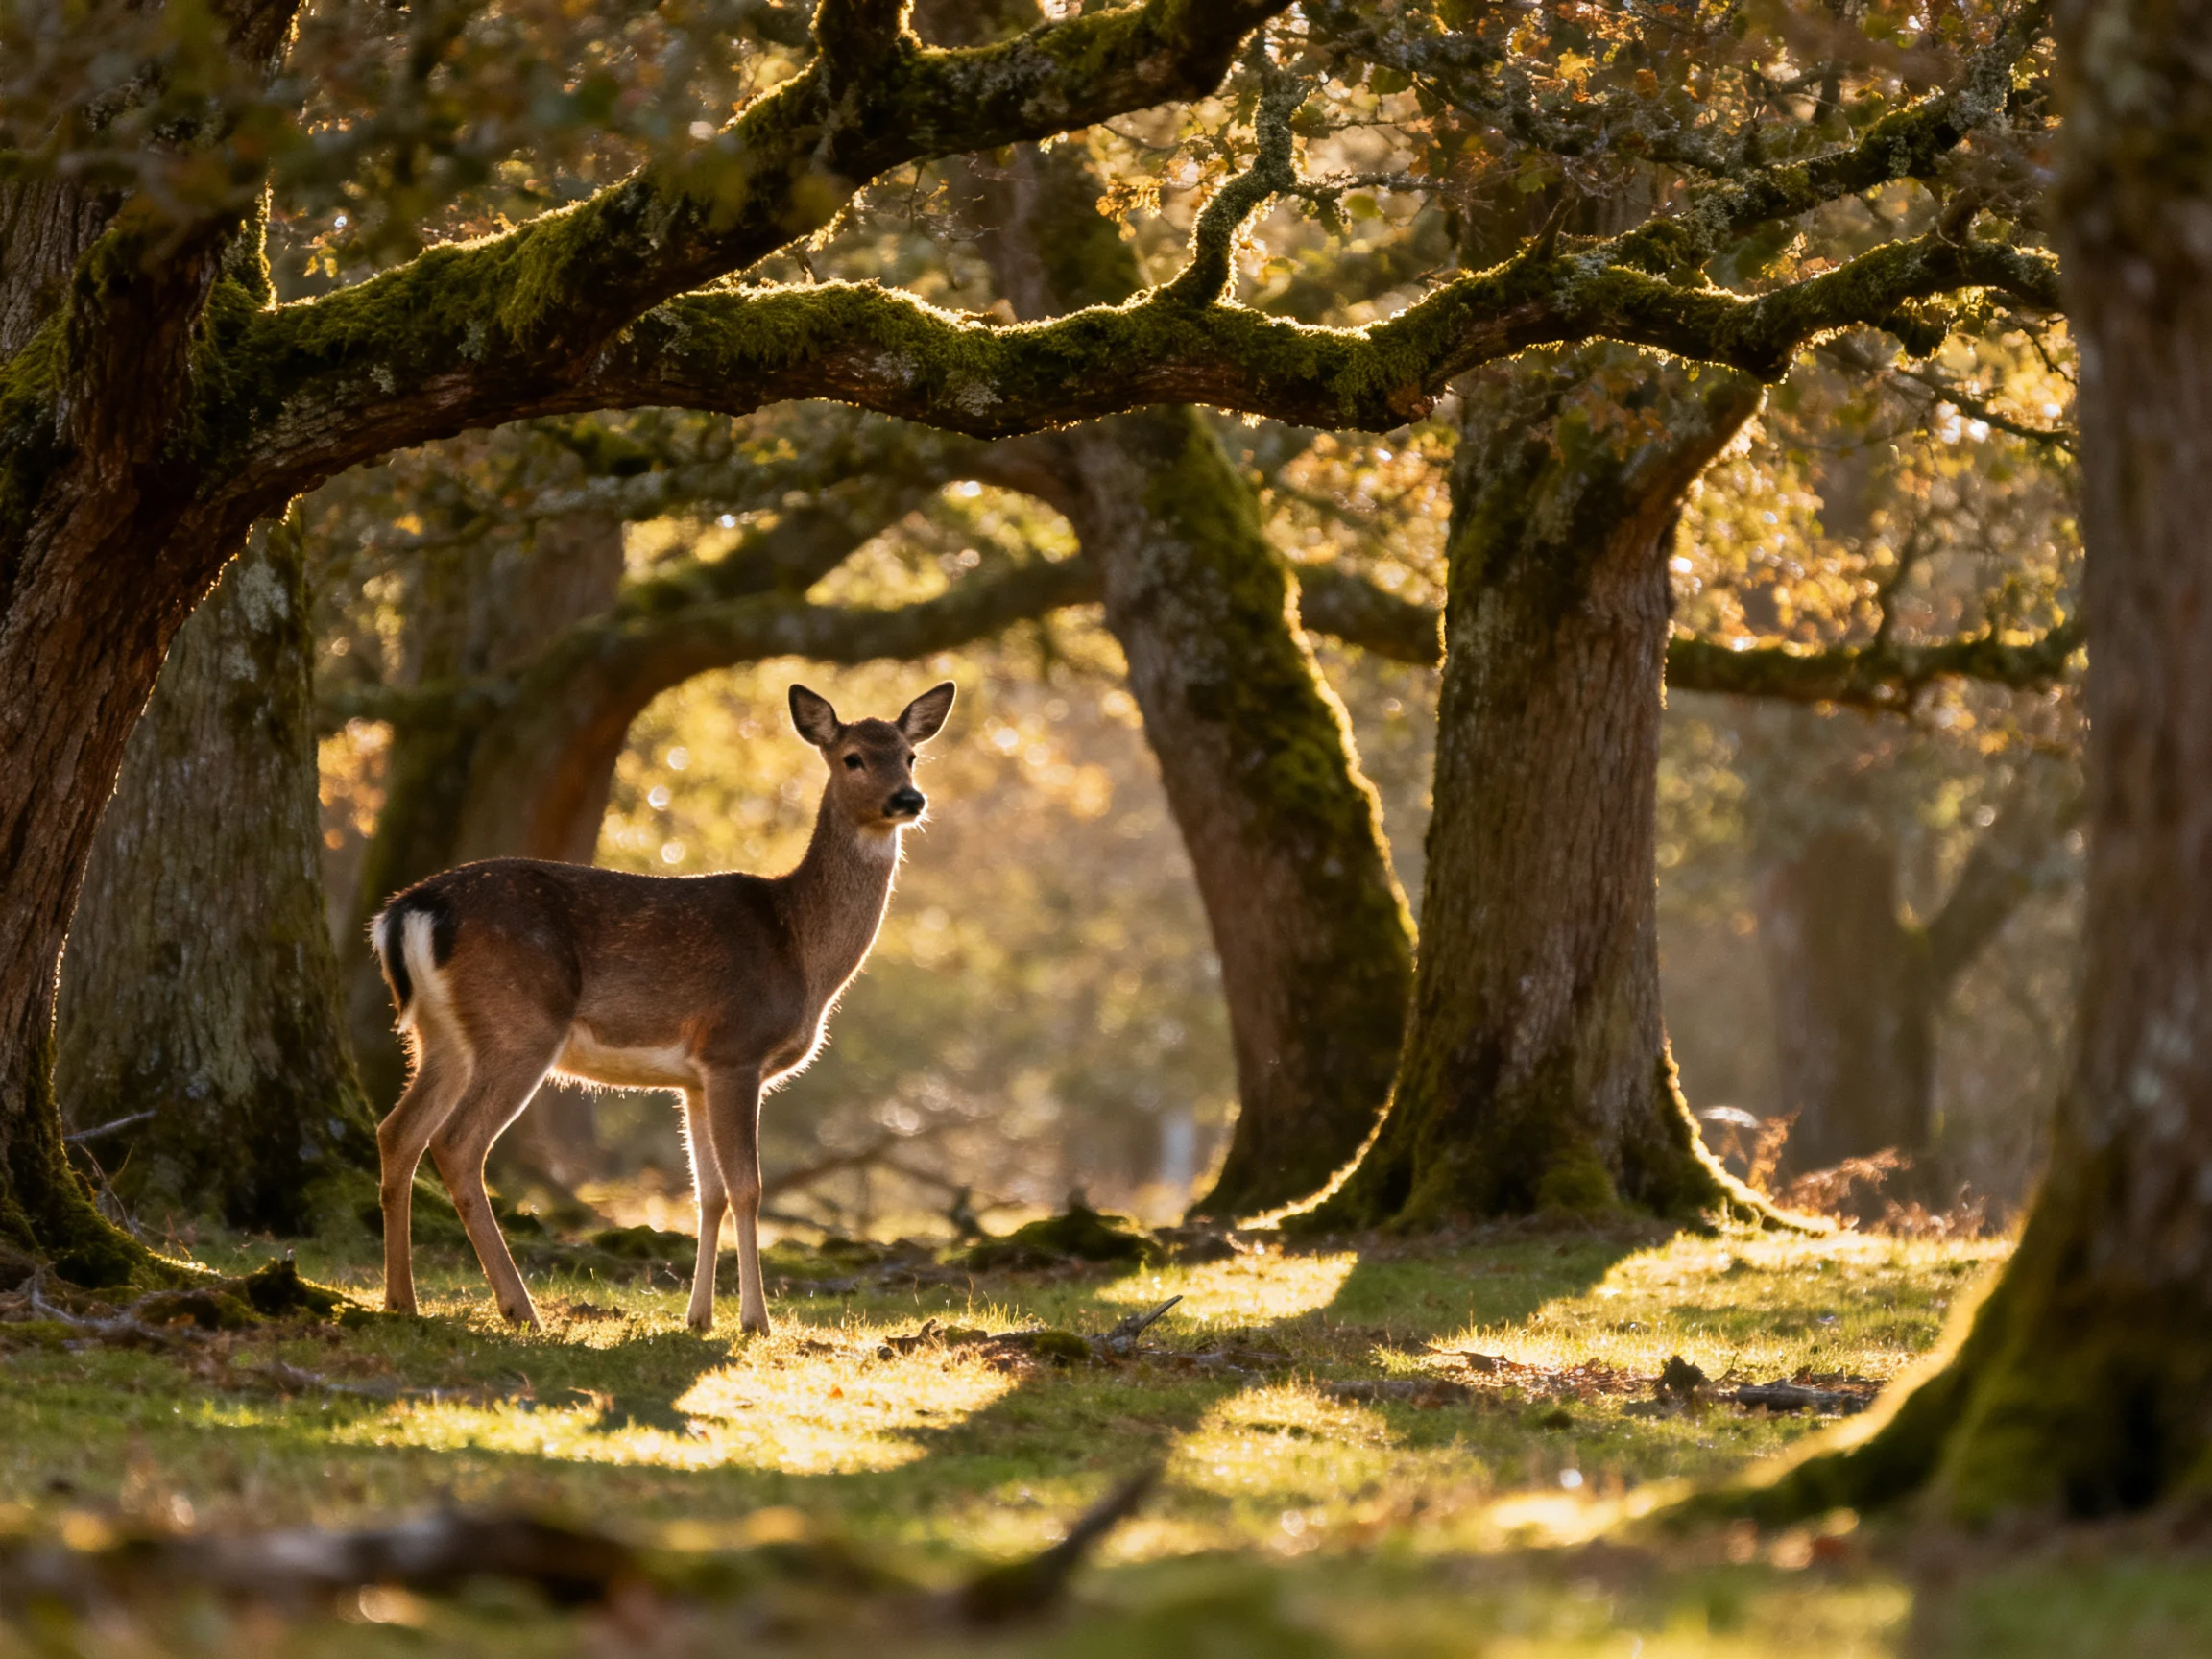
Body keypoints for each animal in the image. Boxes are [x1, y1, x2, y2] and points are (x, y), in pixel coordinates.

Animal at [369, 680, 956, 1335]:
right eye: (853, 757)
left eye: (910, 755)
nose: (908, 798)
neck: (800, 949)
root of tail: (405, 911)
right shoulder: (734, 1050)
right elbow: (749, 1187)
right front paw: (755, 1320)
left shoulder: (694, 1077)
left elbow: (709, 1192)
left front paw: (699, 1317)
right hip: (519, 1025)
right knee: (457, 1143)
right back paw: (519, 1308)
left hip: (440, 1034)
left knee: (398, 1131)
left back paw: (401, 1300)